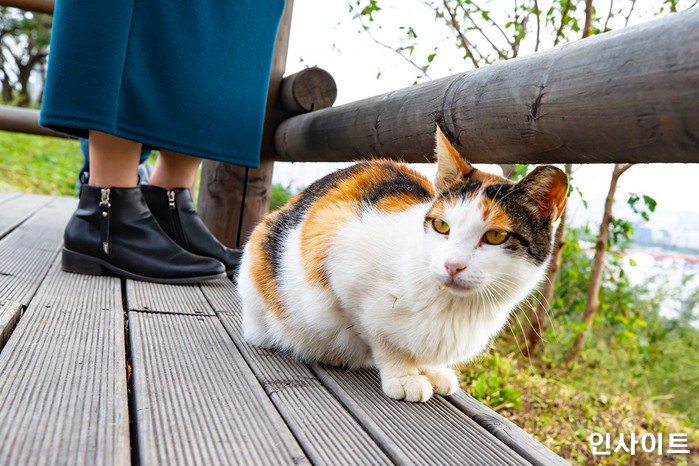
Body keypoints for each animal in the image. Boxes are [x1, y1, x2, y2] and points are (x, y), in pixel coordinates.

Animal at [238, 126, 568, 400]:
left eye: (496, 236)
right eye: (441, 226)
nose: (452, 265)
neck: (452, 308)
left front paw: (432, 370)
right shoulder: (332, 246)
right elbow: (379, 336)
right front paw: (404, 374)